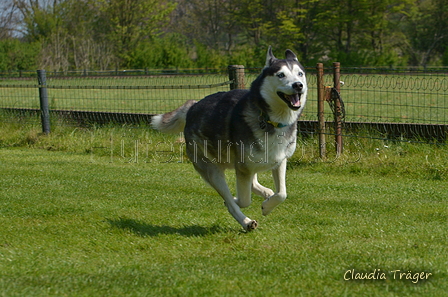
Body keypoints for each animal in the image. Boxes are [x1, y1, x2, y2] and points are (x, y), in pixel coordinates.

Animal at [152, 46, 306, 231]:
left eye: (300, 74)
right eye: (281, 75)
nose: (298, 85)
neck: (270, 120)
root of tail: (192, 107)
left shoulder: (279, 160)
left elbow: (282, 193)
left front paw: (267, 205)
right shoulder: (243, 168)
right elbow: (244, 200)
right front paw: (237, 202)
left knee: (255, 183)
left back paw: (266, 194)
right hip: (213, 170)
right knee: (231, 195)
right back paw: (246, 221)